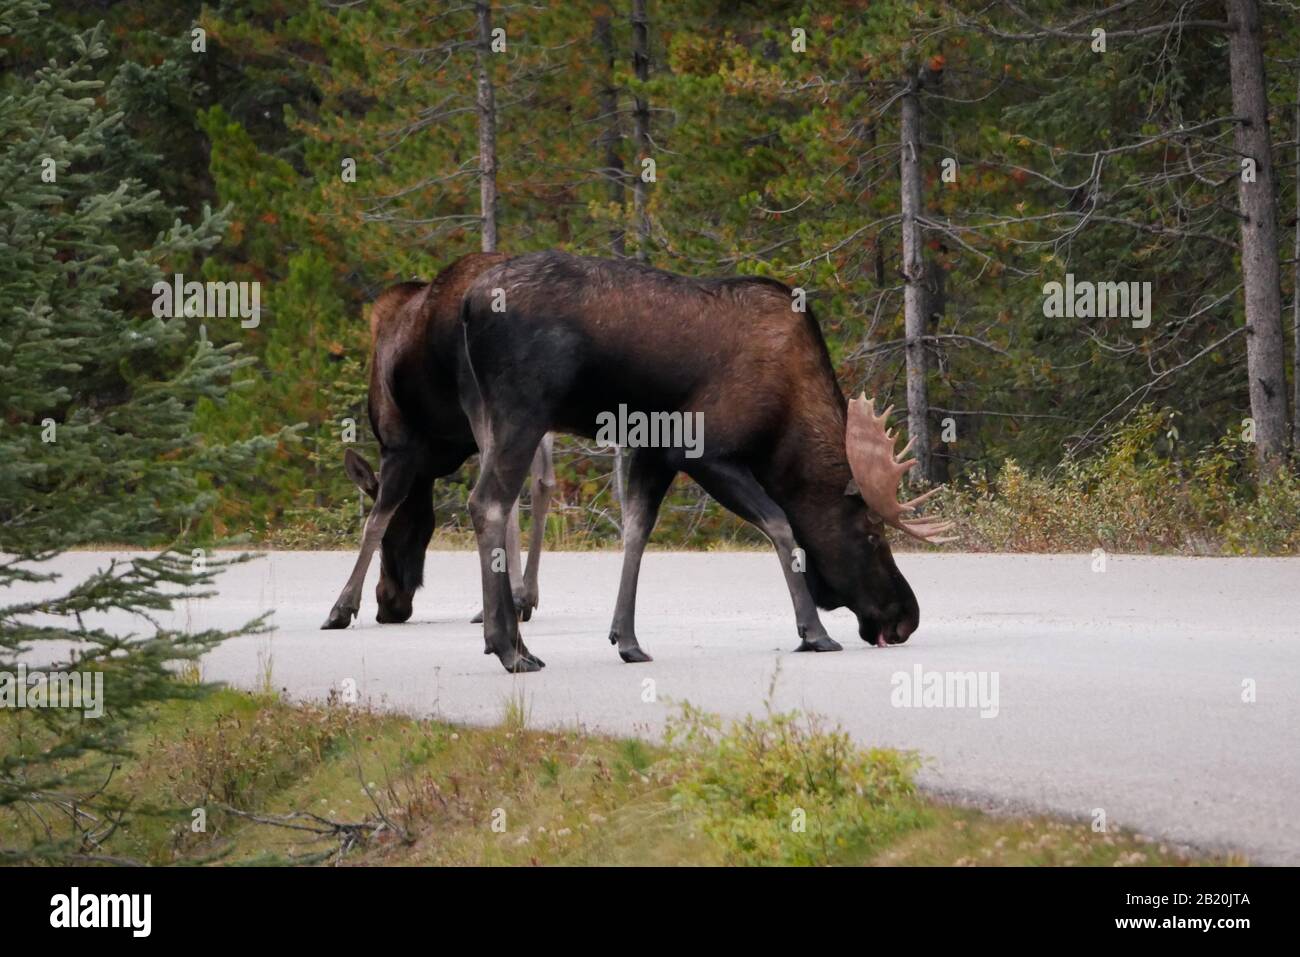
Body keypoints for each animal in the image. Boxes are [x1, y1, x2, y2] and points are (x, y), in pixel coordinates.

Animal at [322, 252, 555, 631]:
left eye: (393, 538)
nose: (390, 606)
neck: (426, 471)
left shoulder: (398, 443)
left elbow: (375, 519)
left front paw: (341, 607)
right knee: (541, 482)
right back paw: (527, 595)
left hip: (483, 400)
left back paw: (512, 600)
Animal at [457, 251, 954, 673]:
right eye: (871, 532)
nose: (906, 616)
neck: (785, 420)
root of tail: (469, 303)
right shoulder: (701, 449)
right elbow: (780, 523)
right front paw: (813, 632)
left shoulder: (652, 448)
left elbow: (636, 530)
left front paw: (627, 639)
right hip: (524, 409)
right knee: (489, 503)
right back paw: (509, 648)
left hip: (484, 413)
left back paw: (511, 642)